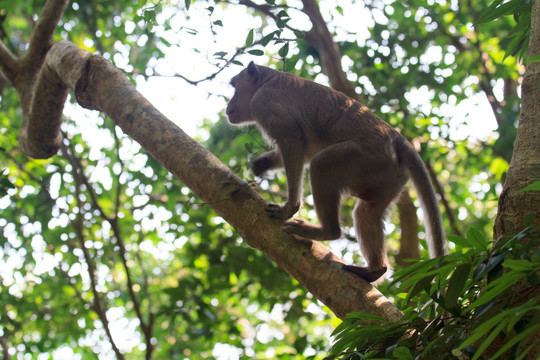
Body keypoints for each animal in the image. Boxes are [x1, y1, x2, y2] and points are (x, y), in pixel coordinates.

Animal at [225, 61, 448, 282]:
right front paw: (261, 164)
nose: (228, 105)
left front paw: (289, 208)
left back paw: (328, 231)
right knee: (367, 211)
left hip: (368, 156)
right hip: (389, 174)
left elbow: (293, 142)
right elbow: (304, 152)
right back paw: (375, 270)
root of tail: (396, 137)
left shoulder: (264, 102)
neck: (265, 82)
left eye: (235, 87)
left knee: (322, 165)